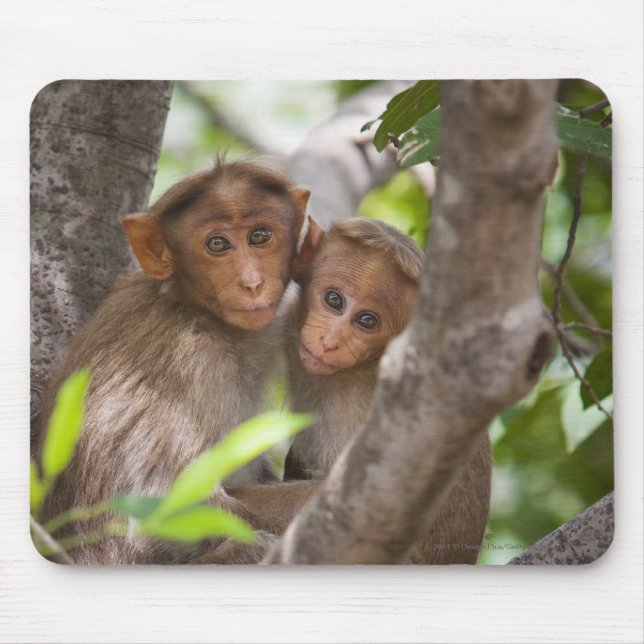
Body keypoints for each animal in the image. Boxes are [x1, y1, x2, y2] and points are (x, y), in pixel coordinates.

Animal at [33, 159, 316, 564]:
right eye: (217, 244)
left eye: (260, 236)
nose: (251, 283)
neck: (191, 306)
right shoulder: (193, 361)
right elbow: (164, 508)